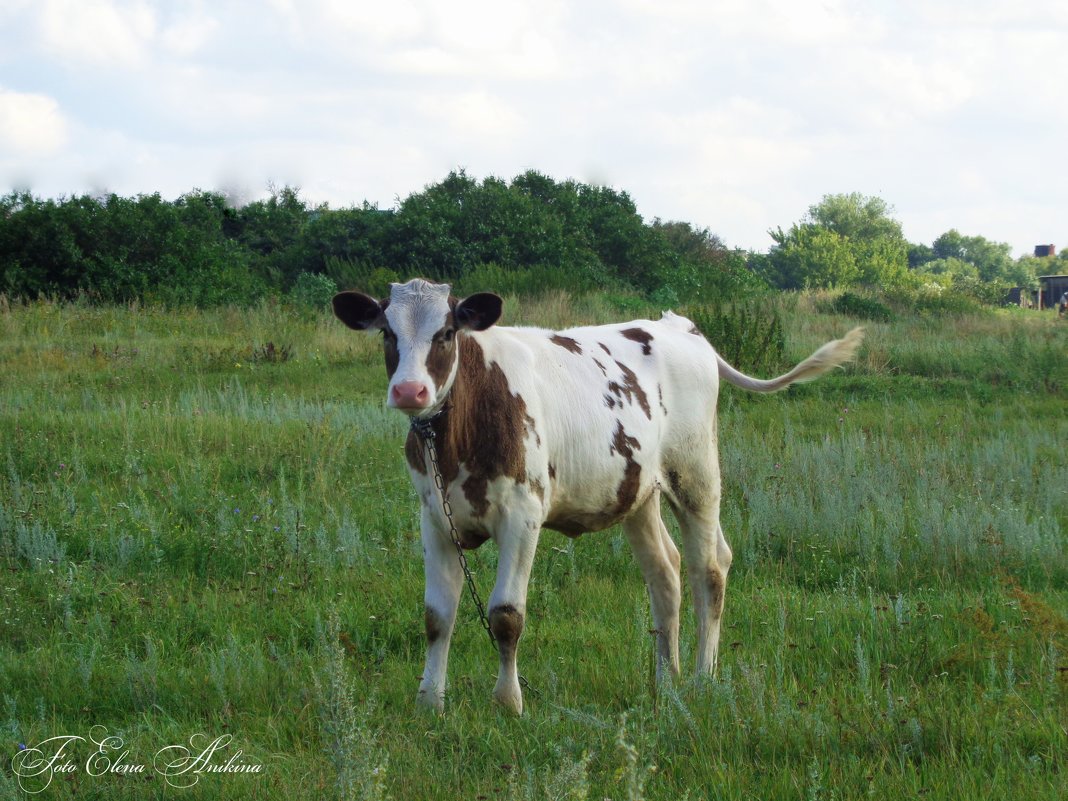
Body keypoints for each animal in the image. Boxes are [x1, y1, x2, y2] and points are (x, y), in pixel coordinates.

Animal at [335, 279, 867, 717]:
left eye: (446, 332)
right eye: (387, 333)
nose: (410, 391)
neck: (456, 433)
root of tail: (680, 327)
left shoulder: (522, 516)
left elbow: (506, 616)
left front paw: (508, 703)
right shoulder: (434, 517)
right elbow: (437, 617)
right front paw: (430, 702)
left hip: (696, 476)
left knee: (709, 569)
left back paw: (702, 677)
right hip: (639, 493)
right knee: (665, 573)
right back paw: (665, 681)